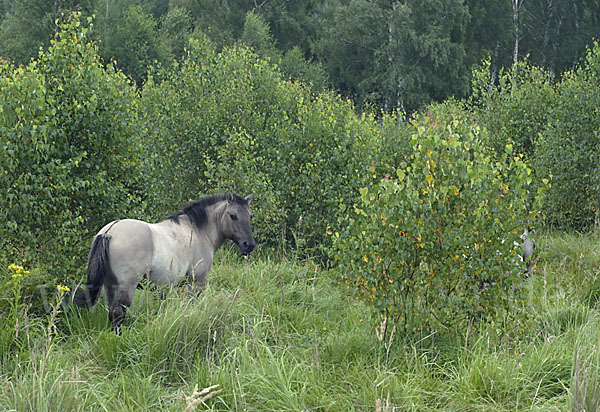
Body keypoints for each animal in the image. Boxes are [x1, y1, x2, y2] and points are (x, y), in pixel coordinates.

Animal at [74, 192, 254, 330]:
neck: (198, 231)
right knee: (118, 313)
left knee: (112, 312)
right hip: (126, 286)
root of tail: (109, 232)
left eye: (250, 216)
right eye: (233, 215)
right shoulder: (196, 282)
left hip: (110, 285)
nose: (249, 245)